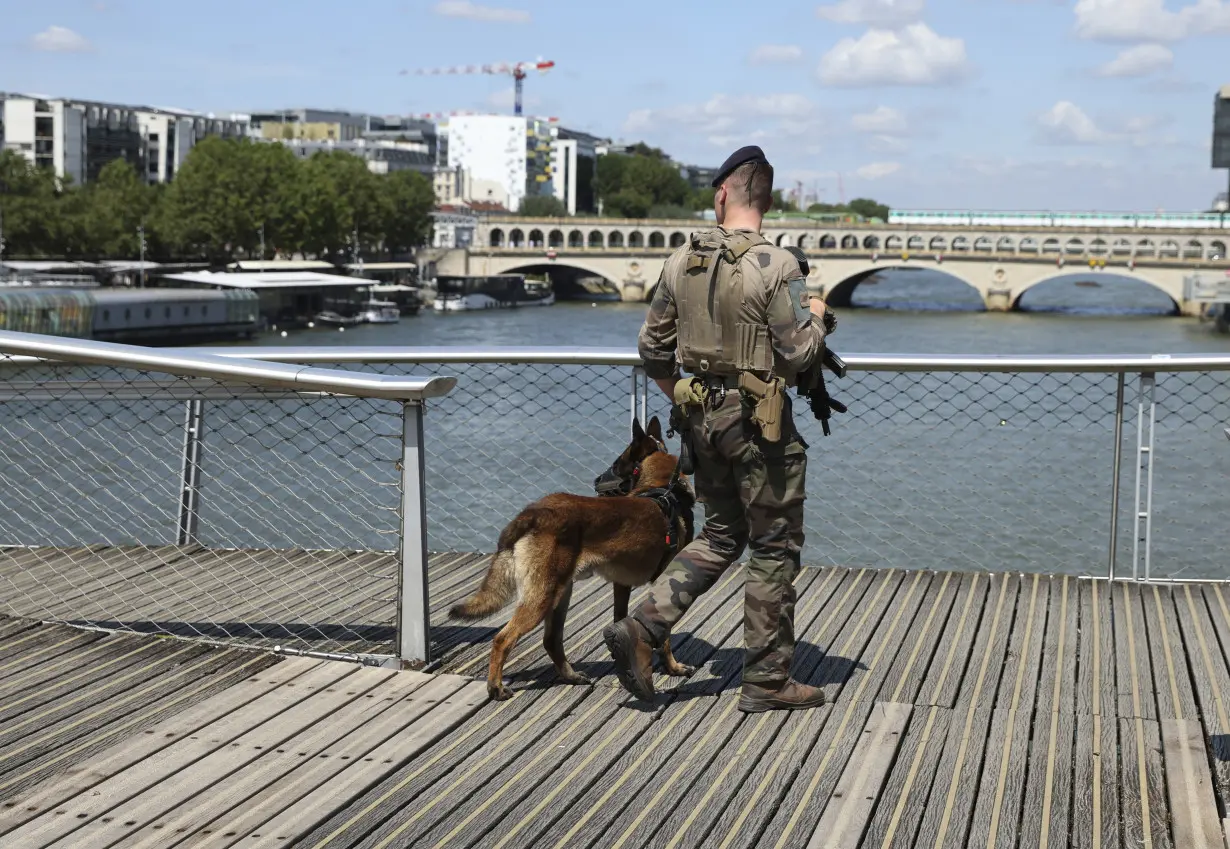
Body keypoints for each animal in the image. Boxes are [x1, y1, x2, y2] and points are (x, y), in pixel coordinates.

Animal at [455, 413, 703, 698]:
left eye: (616, 464)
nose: (595, 480)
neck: (661, 487)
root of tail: (533, 513)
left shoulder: (621, 584)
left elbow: (621, 619)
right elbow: (665, 638)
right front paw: (673, 668)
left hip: (560, 593)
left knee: (551, 640)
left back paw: (571, 676)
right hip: (543, 598)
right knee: (503, 638)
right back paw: (496, 687)